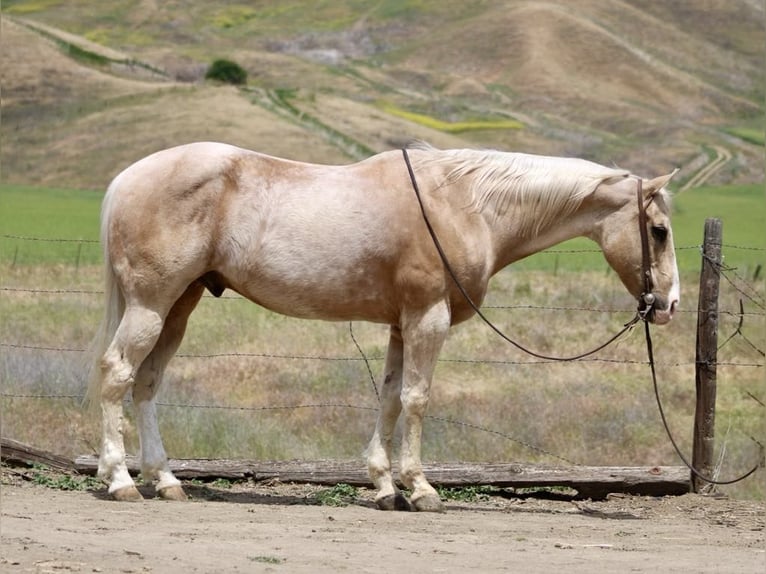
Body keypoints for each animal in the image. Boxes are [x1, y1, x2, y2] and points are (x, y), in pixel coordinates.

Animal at [87, 142, 680, 511]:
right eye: (660, 230)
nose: (669, 304)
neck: (464, 205)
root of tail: (127, 178)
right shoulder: (428, 319)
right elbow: (417, 399)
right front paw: (419, 488)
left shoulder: (402, 325)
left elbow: (391, 398)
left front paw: (384, 486)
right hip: (151, 305)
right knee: (117, 373)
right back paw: (119, 479)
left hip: (178, 307)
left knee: (146, 383)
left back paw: (165, 480)